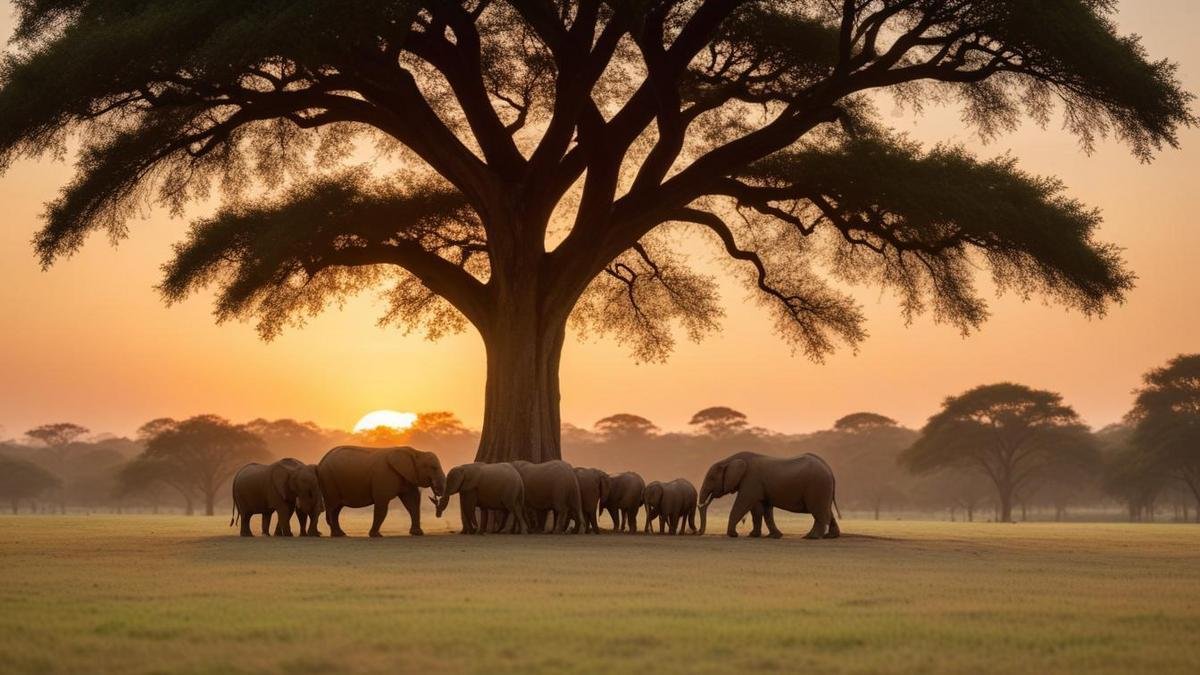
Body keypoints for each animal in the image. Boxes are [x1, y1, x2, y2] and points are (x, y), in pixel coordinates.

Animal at [316, 441, 448, 535]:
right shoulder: (384, 476)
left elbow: (413, 503)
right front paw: (376, 535)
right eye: (434, 468)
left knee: (337, 508)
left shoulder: (406, 477)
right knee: (333, 507)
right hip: (329, 480)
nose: (435, 494)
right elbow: (382, 504)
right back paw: (337, 534)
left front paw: (418, 533)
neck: (416, 453)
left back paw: (341, 533)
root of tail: (321, 461)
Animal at [696, 449, 844, 538]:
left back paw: (811, 537)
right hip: (822, 489)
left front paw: (733, 534)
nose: (697, 532)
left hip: (817, 486)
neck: (729, 459)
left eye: (711, 478)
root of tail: (829, 469)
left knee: (818, 512)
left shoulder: (751, 481)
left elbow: (743, 504)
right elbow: (762, 509)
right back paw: (830, 536)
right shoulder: (758, 485)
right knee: (826, 511)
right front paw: (767, 536)